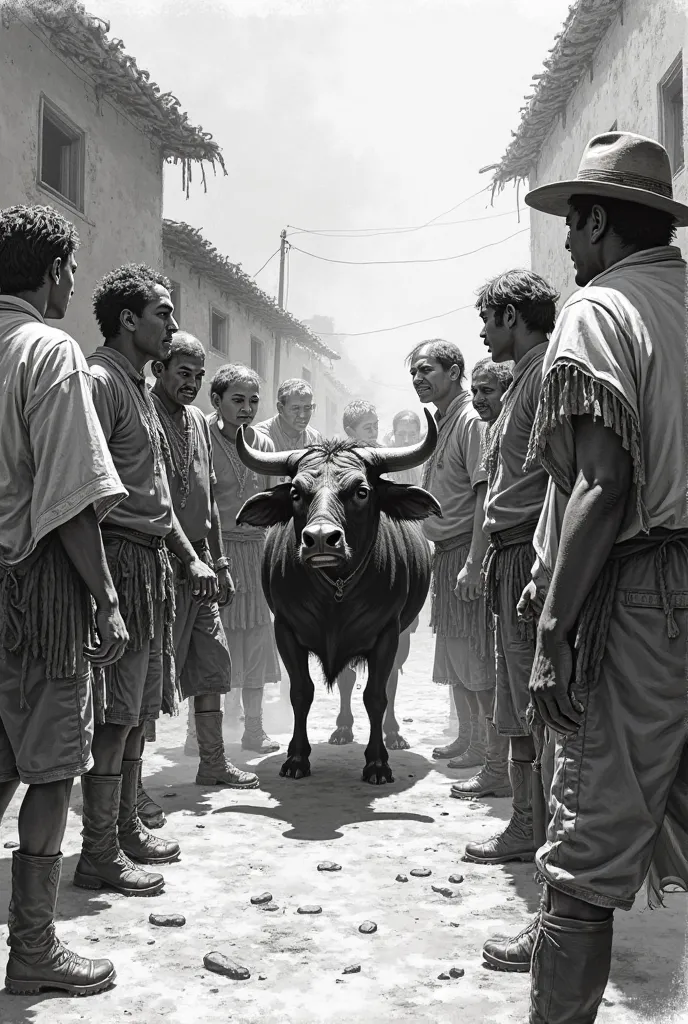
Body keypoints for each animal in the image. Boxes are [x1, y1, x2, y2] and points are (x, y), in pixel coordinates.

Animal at [235, 407, 440, 782]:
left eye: (361, 491)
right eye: (296, 492)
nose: (319, 539)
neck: (336, 591)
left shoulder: (388, 632)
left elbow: (377, 694)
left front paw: (377, 762)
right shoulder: (285, 629)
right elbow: (302, 692)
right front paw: (296, 758)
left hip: (405, 632)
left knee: (390, 682)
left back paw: (393, 733)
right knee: (345, 680)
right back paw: (343, 729)